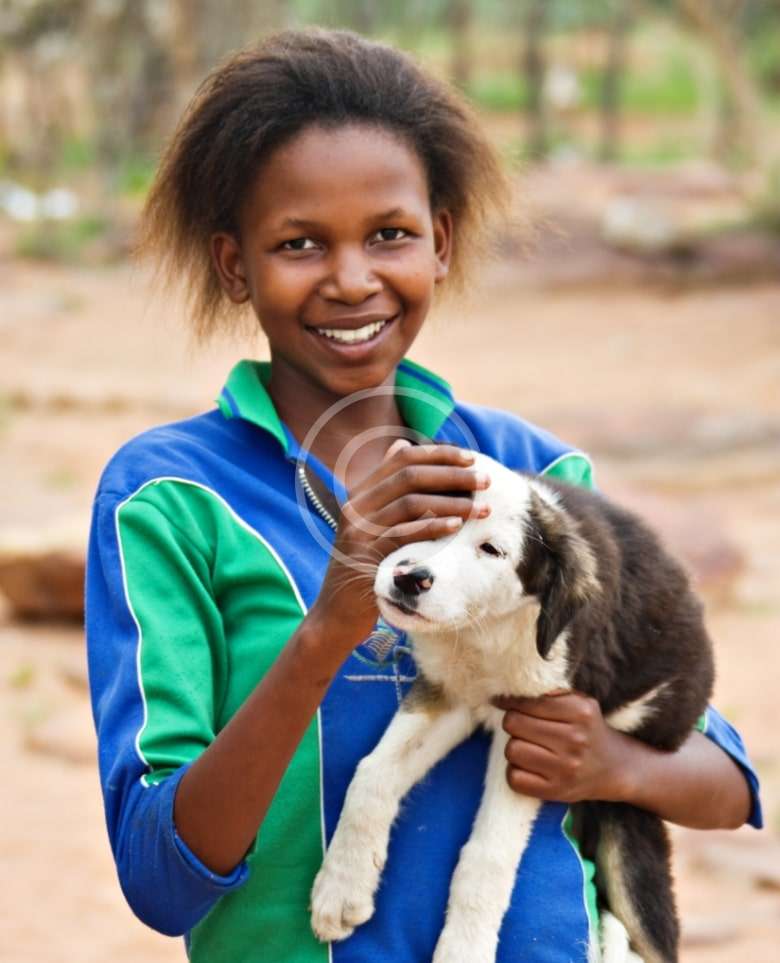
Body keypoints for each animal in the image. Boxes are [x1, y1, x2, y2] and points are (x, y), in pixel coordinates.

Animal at [310, 452, 714, 963]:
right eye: (427, 515)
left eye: (491, 551)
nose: (409, 579)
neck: (484, 628)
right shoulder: (449, 693)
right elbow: (372, 774)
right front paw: (341, 887)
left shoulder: (532, 730)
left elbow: (487, 857)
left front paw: (463, 950)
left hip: (629, 817)